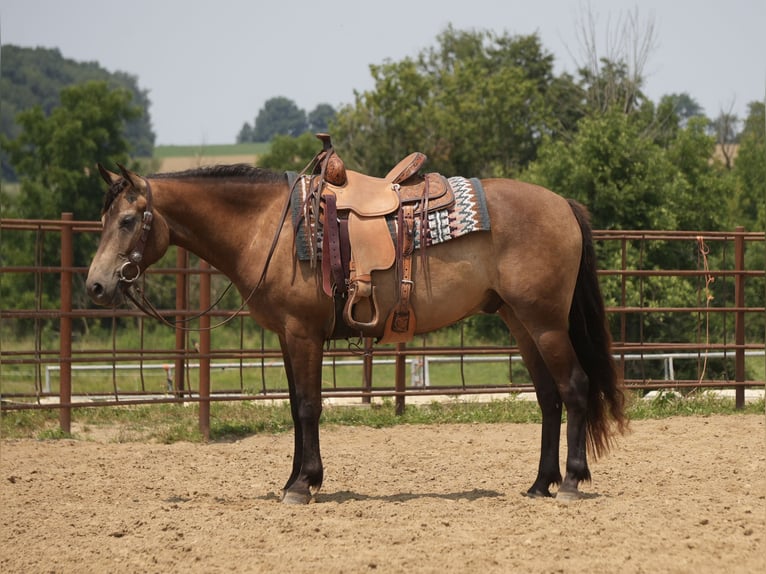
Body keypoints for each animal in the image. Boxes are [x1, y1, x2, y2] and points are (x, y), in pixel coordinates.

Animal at [86, 157, 627, 504]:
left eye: (129, 220)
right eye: (104, 218)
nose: (96, 285)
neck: (271, 227)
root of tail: (563, 205)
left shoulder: (303, 334)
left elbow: (308, 406)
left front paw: (302, 486)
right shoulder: (287, 336)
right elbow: (295, 407)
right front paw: (295, 479)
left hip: (545, 322)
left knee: (574, 388)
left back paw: (571, 483)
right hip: (520, 321)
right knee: (549, 398)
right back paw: (539, 485)